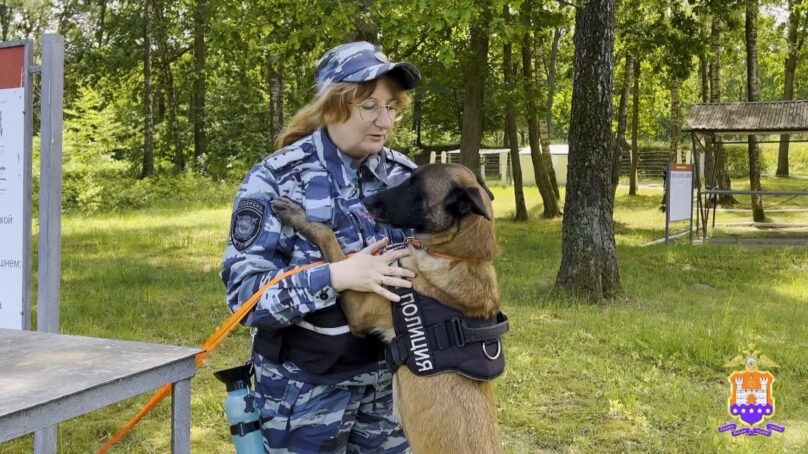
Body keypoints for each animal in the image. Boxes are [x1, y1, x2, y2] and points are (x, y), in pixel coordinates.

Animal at [272, 164, 504, 454]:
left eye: (414, 187)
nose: (366, 200)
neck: (459, 255)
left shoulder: (359, 309)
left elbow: (330, 239)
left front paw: (299, 217)